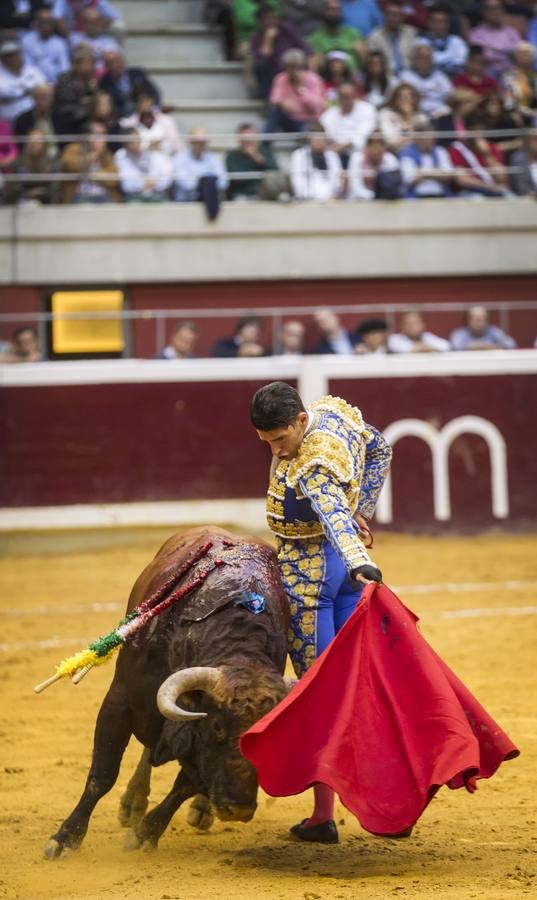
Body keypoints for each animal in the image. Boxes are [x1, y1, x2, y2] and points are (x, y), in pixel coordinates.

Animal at [45, 528, 288, 856]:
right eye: (217, 727)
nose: (238, 809)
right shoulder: (118, 703)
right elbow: (103, 773)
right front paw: (66, 837)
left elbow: (185, 785)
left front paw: (145, 833)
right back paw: (132, 803)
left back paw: (197, 809)